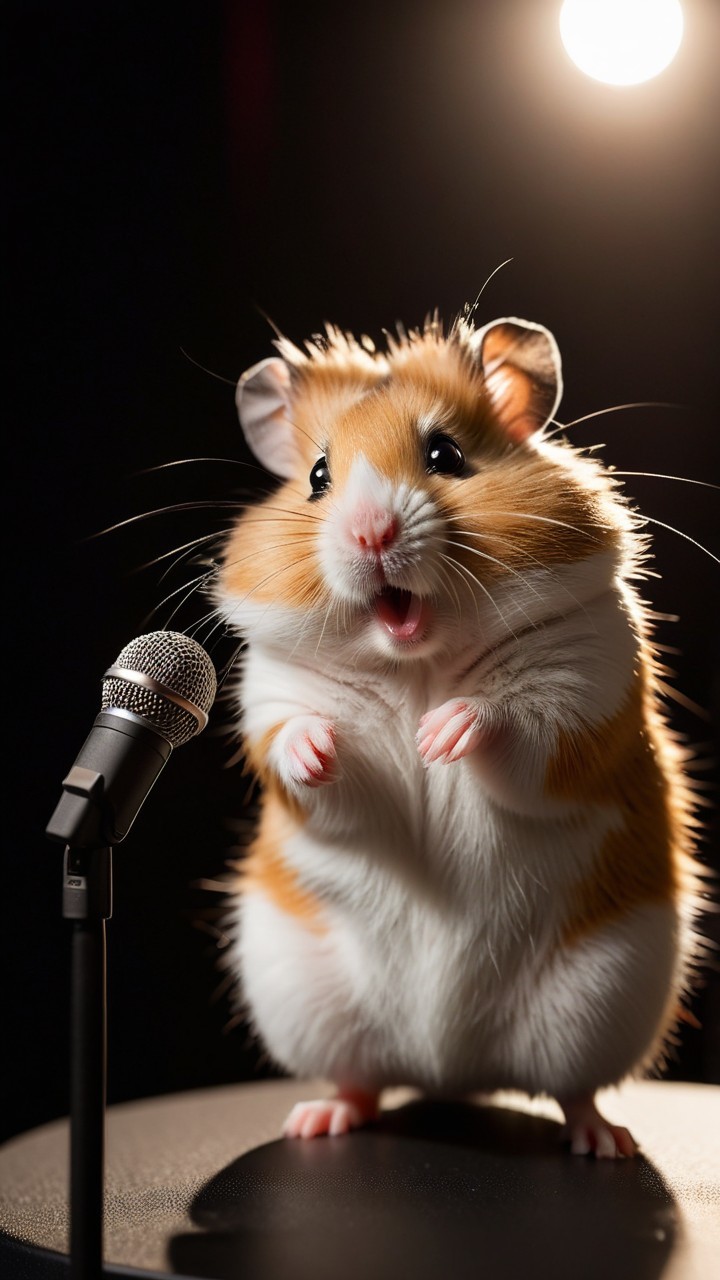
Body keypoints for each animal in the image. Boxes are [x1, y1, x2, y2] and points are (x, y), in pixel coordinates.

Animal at [215, 313, 703, 1157]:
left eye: (445, 454)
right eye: (318, 476)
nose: (371, 532)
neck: (418, 663)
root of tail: (448, 1066)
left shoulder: (582, 694)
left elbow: (516, 727)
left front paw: (440, 736)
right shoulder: (269, 695)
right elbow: (296, 748)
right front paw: (327, 747)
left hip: (603, 996)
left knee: (575, 1090)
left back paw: (604, 1143)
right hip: (304, 998)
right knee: (360, 1079)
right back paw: (316, 1122)